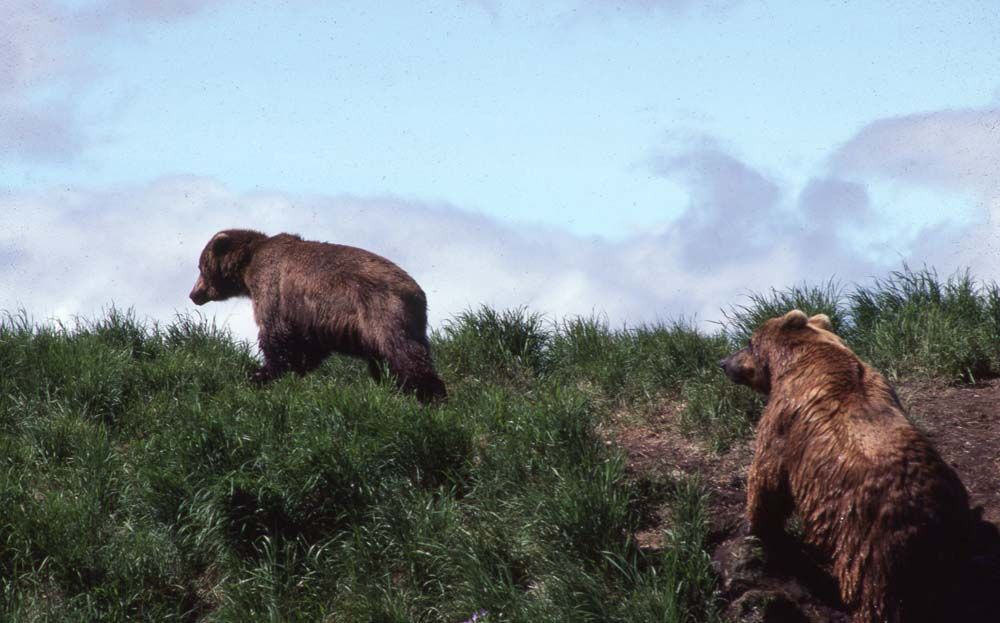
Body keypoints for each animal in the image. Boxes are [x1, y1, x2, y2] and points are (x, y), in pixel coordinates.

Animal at [189, 229, 447, 404]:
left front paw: (260, 374)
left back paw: (428, 393)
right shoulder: (310, 320)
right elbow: (307, 347)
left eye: (201, 267)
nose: (193, 294)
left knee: (403, 352)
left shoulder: (272, 288)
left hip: (381, 312)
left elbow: (276, 336)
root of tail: (416, 293)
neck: (248, 266)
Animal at [719, 310, 973, 623]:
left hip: (868, 544)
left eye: (749, 342)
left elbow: (767, 476)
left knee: (873, 595)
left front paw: (751, 525)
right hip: (951, 543)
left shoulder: (784, 420)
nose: (723, 362)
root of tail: (927, 515)